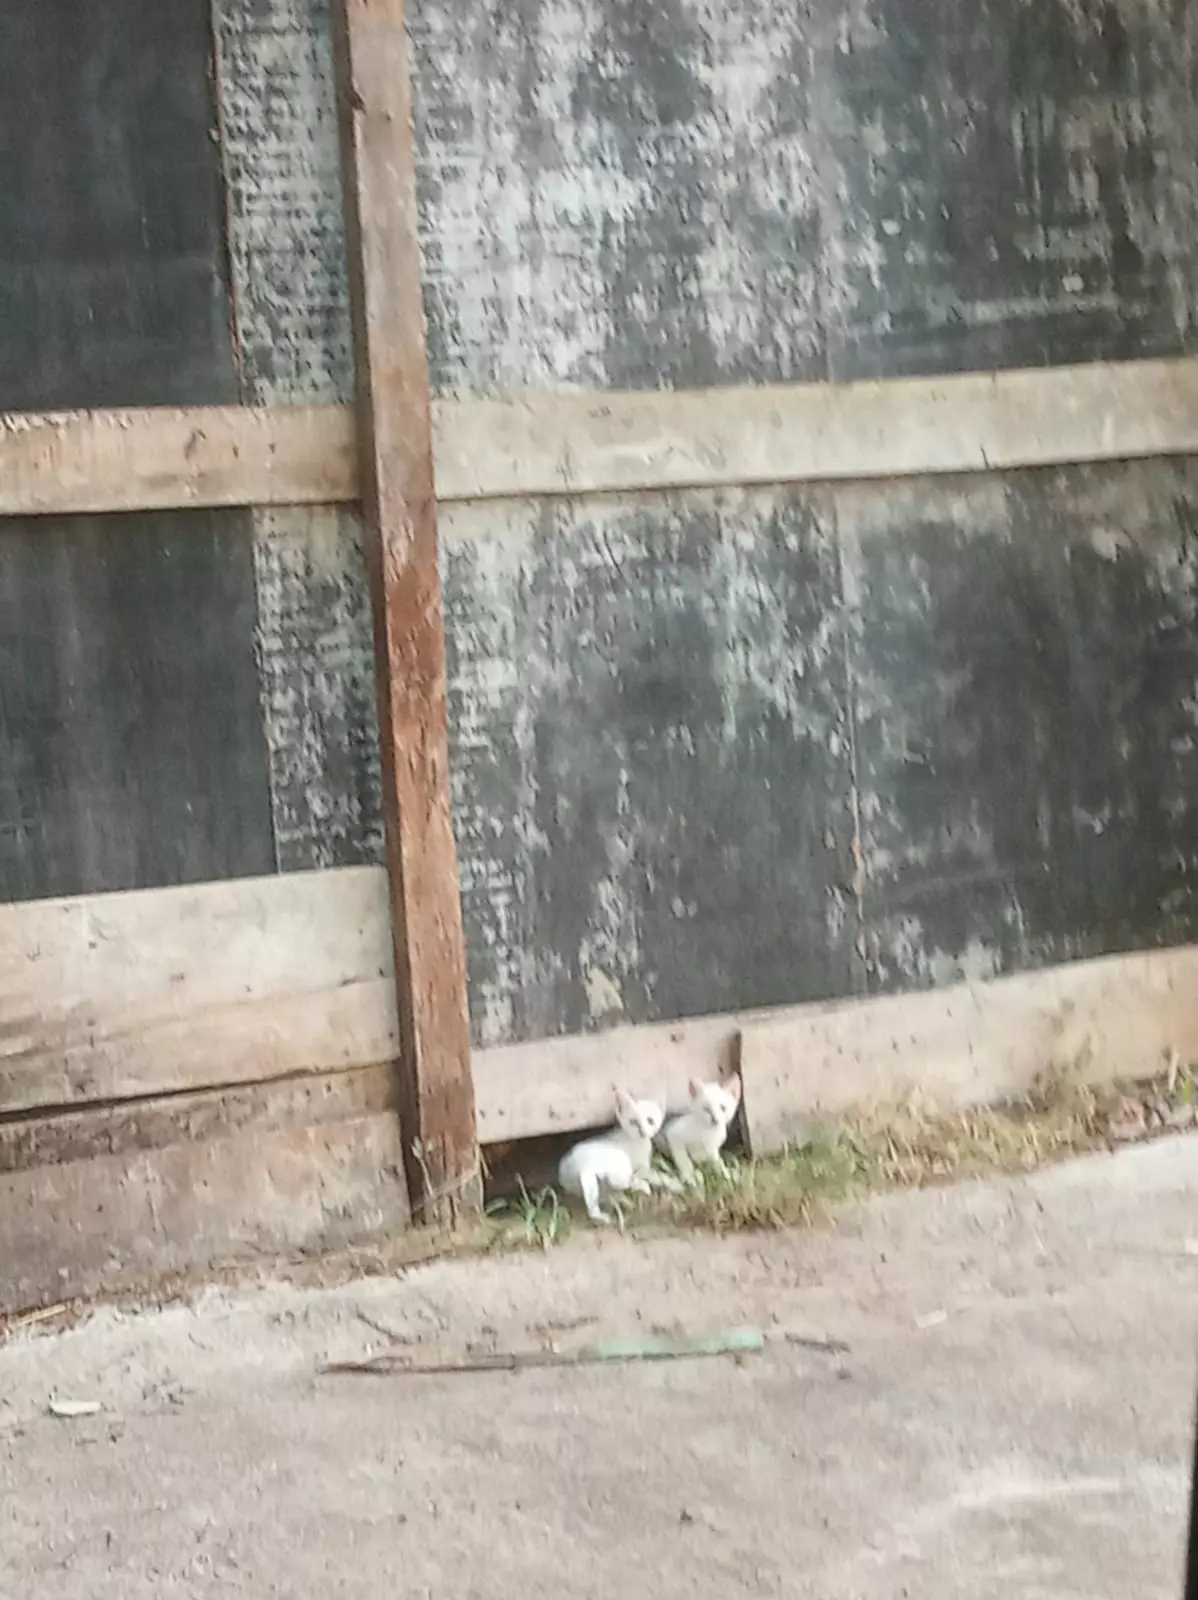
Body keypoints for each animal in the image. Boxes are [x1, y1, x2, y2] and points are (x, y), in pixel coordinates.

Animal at [558, 1086, 665, 1225]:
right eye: (633, 1122)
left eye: (650, 1120)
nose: (642, 1131)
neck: (637, 1142)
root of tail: (582, 1164)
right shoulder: (640, 1163)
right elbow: (645, 1171)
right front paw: (655, 1177)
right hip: (619, 1158)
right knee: (620, 1182)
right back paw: (640, 1187)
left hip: (581, 1183)